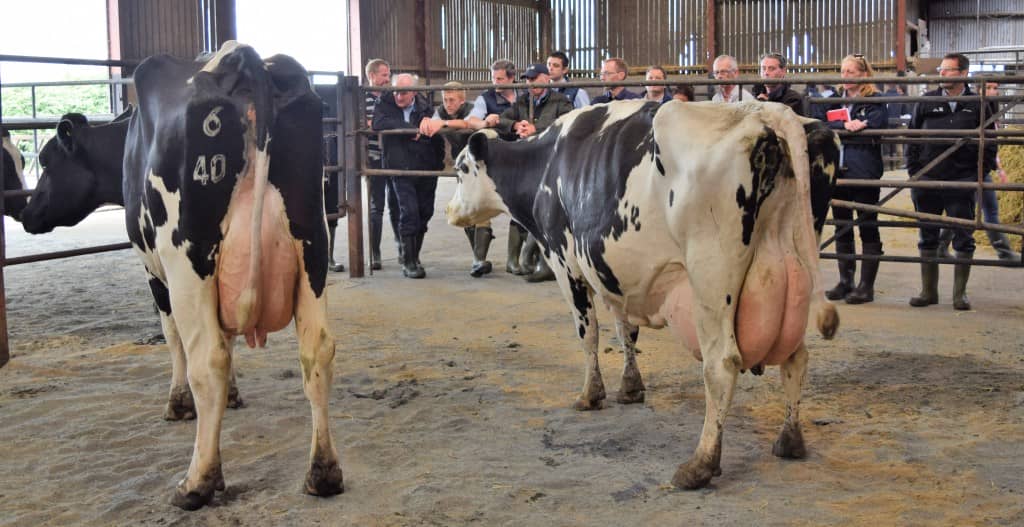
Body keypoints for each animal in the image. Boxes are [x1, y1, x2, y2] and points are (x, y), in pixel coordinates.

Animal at [446, 100, 839, 491]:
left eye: (461, 168)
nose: (449, 211)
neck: (545, 163)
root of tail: (763, 112)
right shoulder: (615, 272)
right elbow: (626, 331)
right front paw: (630, 387)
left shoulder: (565, 262)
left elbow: (589, 334)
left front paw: (590, 395)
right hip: (794, 269)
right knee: (796, 358)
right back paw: (789, 439)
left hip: (711, 276)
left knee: (722, 365)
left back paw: (701, 463)